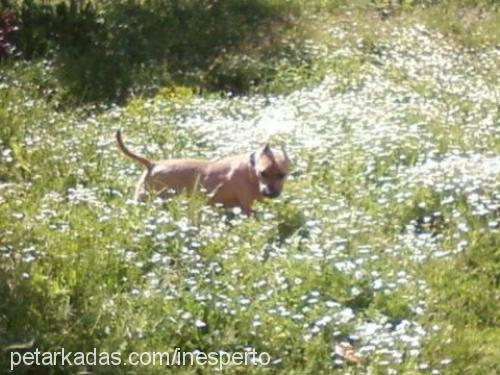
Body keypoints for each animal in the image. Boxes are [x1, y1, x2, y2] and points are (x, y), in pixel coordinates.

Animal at [115, 131, 290, 216]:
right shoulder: (246, 206)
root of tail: (152, 164)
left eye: (282, 175)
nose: (271, 193)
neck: (251, 169)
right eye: (263, 173)